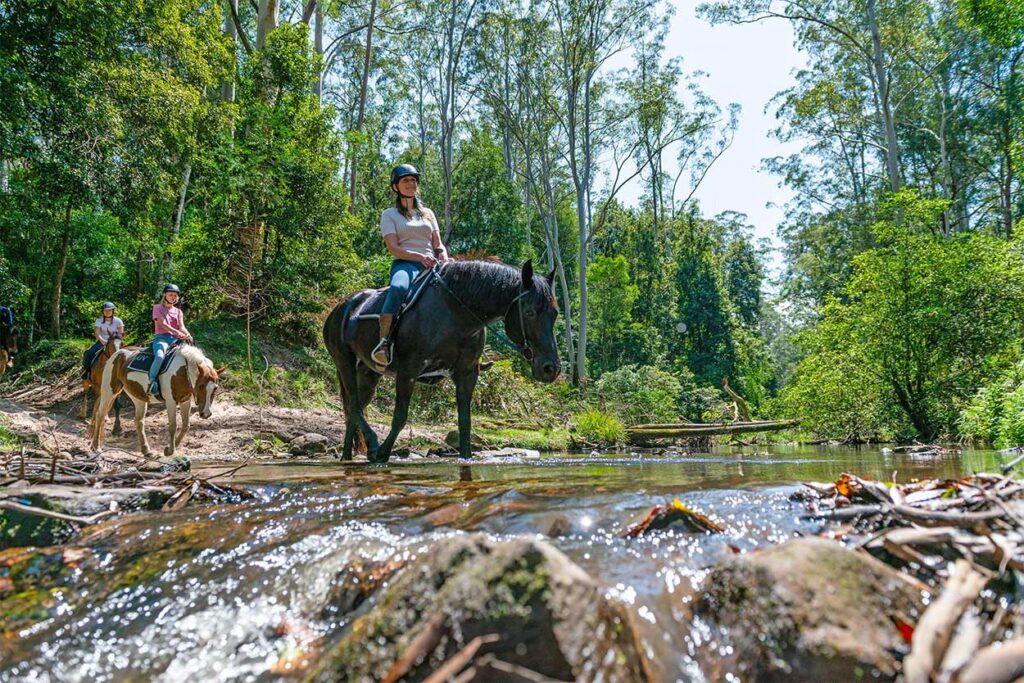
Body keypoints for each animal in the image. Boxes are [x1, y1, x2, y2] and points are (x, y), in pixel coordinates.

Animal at [90, 344, 226, 456]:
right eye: (201, 386)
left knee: (139, 421)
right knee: (100, 415)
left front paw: (172, 447)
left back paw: (146, 450)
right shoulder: (171, 401)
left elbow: (186, 425)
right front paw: (170, 450)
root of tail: (117, 353)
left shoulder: (185, 401)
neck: (182, 371)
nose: (206, 414)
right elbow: (173, 425)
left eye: (215, 388)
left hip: (138, 397)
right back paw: (96, 447)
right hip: (109, 391)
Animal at [323, 259, 561, 462]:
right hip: (344, 362)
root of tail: (342, 307)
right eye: (529, 312)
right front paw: (382, 452)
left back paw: (347, 456)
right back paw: (372, 446)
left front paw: (466, 457)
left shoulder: (467, 373)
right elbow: (400, 416)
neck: (456, 313)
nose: (551, 369)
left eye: (555, 313)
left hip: (369, 371)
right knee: (354, 405)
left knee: (354, 410)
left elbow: (465, 422)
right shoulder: (409, 370)